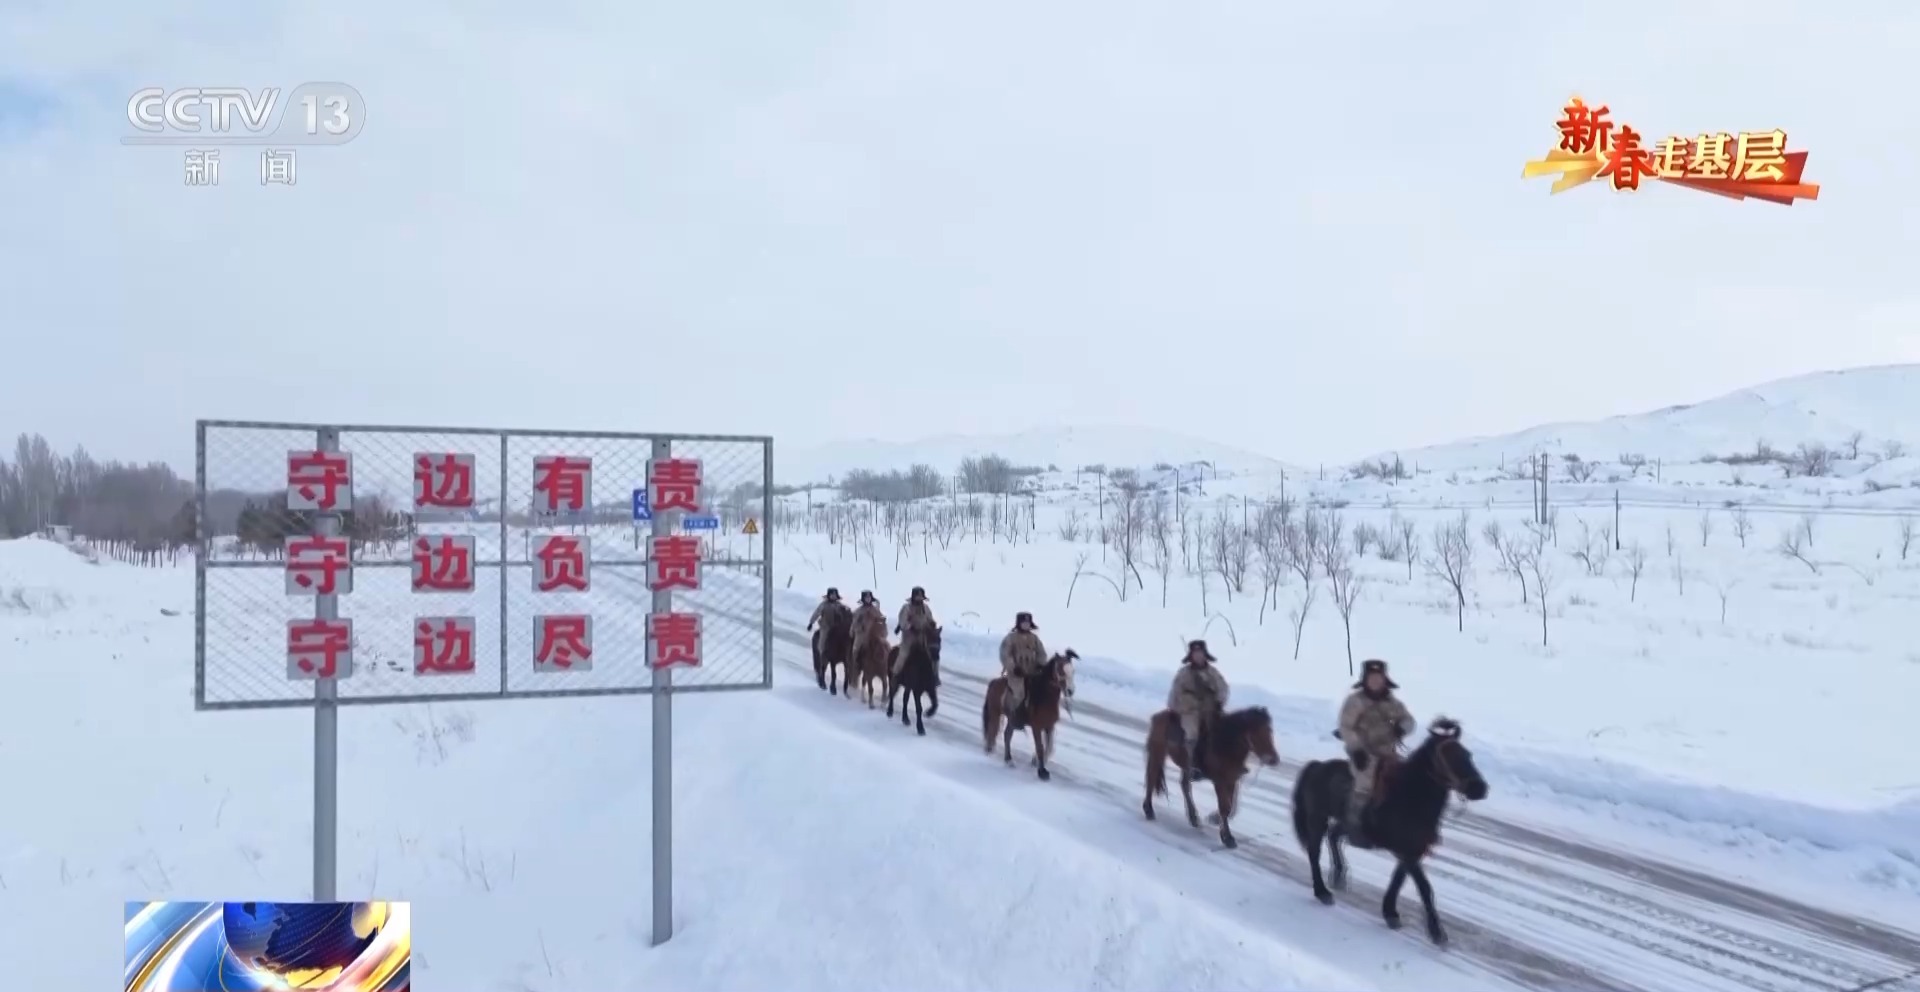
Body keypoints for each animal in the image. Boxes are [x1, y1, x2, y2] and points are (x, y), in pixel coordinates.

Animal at [982, 650, 1077, 781]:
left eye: (1073, 671)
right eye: (1060, 670)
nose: (1070, 690)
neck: (1045, 697)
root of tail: (994, 682)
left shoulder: (1049, 726)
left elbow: (1049, 747)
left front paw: (1035, 761)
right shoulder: (1036, 727)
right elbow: (1040, 747)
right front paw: (1042, 772)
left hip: (1011, 720)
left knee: (1007, 735)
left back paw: (1008, 760)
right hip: (995, 713)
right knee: (993, 730)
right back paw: (990, 750)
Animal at [1142, 705, 1280, 849]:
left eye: (1270, 730)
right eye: (1256, 731)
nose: (1273, 759)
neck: (1226, 745)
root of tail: (1160, 715)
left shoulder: (1232, 780)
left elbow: (1230, 807)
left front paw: (1214, 818)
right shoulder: (1219, 781)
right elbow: (1225, 807)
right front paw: (1228, 838)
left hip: (1185, 766)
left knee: (1184, 785)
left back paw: (1193, 818)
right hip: (1157, 752)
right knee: (1151, 778)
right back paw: (1149, 810)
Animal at [1291, 717, 1488, 946]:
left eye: (1468, 754)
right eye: (1448, 755)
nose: (1479, 788)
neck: (1410, 796)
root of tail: (1316, 766)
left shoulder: (1411, 850)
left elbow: (1398, 879)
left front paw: (1390, 912)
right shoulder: (1408, 852)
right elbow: (1424, 887)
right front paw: (1436, 932)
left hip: (1343, 823)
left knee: (1333, 835)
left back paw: (1339, 876)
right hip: (1317, 819)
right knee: (1314, 852)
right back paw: (1323, 892)